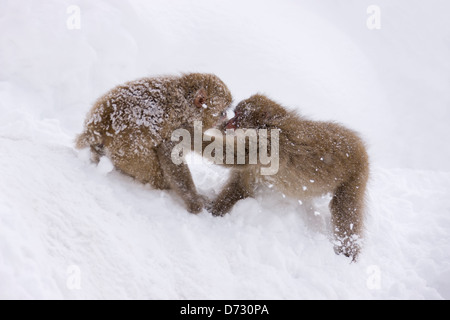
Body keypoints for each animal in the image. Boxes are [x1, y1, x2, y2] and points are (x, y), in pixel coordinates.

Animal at [75, 74, 232, 214]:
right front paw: (194, 201)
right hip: (128, 150)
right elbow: (170, 155)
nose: (226, 118)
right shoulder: (180, 128)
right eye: (222, 113)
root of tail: (100, 123)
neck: (188, 105)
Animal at [211, 95, 370, 260]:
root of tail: (360, 146)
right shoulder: (254, 167)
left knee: (346, 210)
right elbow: (241, 187)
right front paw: (213, 212)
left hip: (355, 176)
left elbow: (236, 156)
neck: (268, 124)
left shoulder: (268, 144)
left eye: (238, 115)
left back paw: (348, 252)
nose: (229, 122)